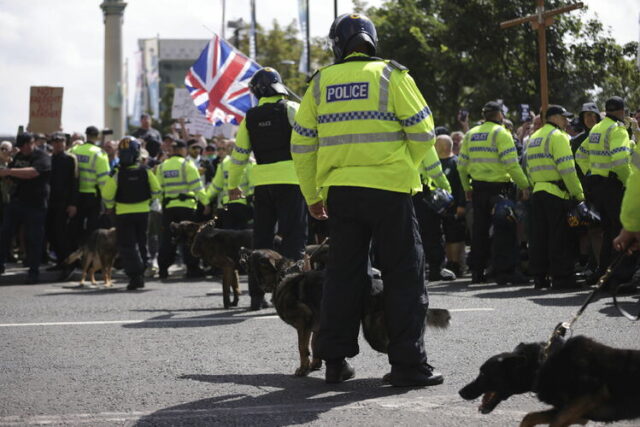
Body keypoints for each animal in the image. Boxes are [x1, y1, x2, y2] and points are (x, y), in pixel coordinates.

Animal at [268, 270, 450, 378]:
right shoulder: (318, 328)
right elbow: (315, 345)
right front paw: (315, 365)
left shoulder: (303, 323)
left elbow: (302, 348)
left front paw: (303, 369)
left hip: (373, 334)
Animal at [460, 338, 640, 424]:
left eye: (483, 373)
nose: (460, 392)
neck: (543, 365)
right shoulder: (575, 413)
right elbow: (529, 418)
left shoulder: (593, 395)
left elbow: (554, 421)